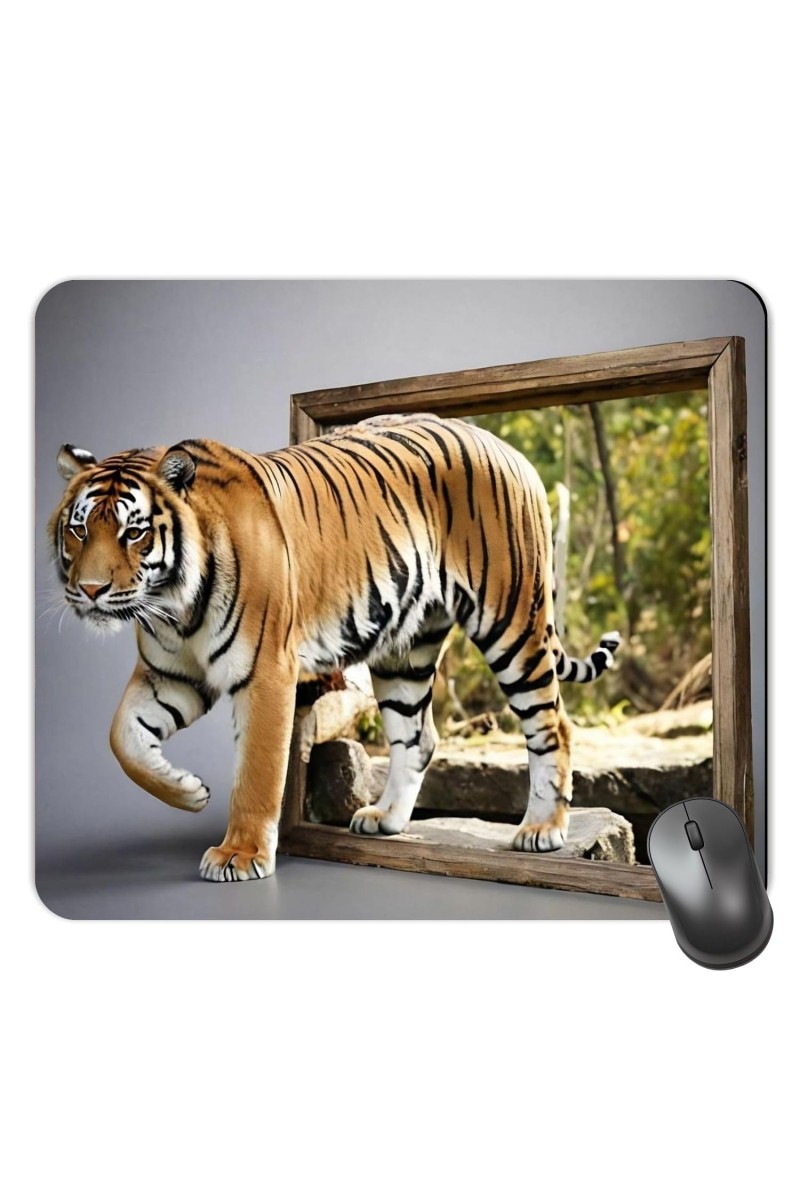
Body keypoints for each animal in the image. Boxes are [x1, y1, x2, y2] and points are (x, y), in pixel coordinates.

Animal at [48, 415, 620, 882]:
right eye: (79, 530)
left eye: (134, 532)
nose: (91, 590)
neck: (173, 608)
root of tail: (509, 449)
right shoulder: (169, 675)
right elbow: (122, 738)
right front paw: (188, 791)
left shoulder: (266, 673)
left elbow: (257, 771)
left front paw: (240, 856)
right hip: (407, 647)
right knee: (418, 737)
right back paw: (385, 820)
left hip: (511, 622)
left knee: (553, 724)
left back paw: (542, 829)